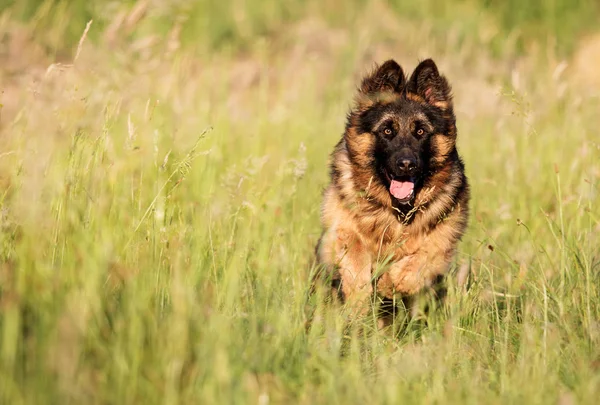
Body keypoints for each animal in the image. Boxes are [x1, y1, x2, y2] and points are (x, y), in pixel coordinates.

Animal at [314, 57, 468, 322]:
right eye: (387, 131)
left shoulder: (441, 247)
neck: (396, 210)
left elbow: (418, 260)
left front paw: (388, 284)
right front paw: (359, 299)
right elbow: (355, 254)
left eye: (420, 131)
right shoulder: (339, 231)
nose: (406, 164)